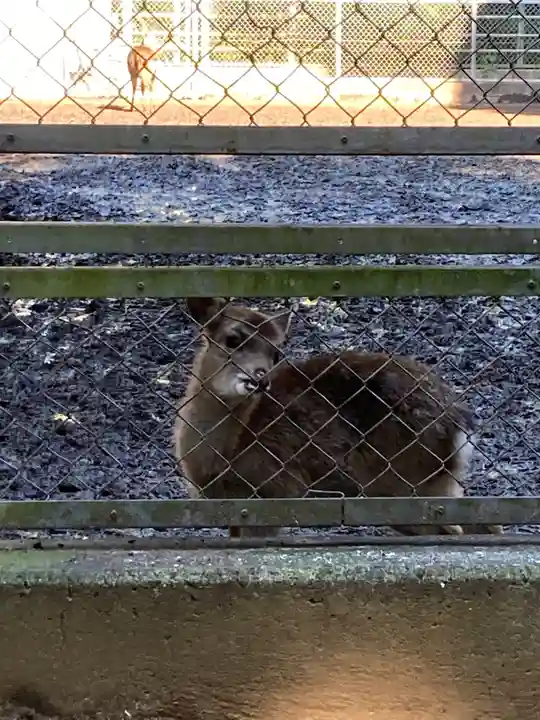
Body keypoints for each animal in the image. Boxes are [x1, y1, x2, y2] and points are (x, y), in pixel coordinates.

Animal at [174, 297, 503, 538]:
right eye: (231, 339)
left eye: (276, 352)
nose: (260, 378)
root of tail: (460, 422)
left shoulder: (276, 490)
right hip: (438, 483)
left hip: (404, 482)